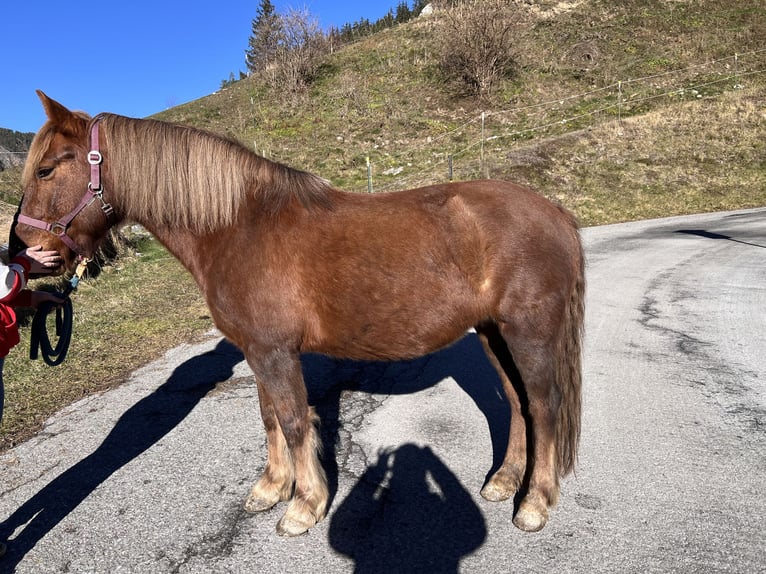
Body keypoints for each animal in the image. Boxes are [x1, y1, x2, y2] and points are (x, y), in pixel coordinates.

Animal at [15, 92, 584, 536]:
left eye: (46, 168)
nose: (24, 251)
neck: (236, 226)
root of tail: (555, 212)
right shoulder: (256, 349)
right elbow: (269, 415)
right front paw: (272, 488)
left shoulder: (275, 351)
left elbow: (292, 420)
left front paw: (304, 506)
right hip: (493, 333)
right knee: (517, 404)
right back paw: (504, 482)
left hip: (528, 333)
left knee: (543, 406)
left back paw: (534, 503)